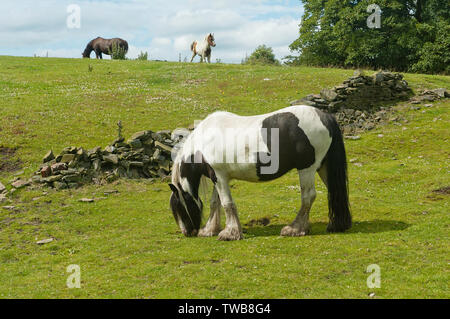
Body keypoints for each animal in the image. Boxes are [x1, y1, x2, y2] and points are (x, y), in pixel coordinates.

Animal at [169, 104, 352, 240]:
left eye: (179, 208)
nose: (187, 232)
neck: (204, 142)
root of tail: (325, 116)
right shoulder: (219, 177)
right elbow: (216, 203)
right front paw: (210, 230)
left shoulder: (219, 177)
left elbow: (227, 203)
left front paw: (230, 233)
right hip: (323, 167)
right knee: (334, 191)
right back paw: (336, 225)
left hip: (307, 169)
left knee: (308, 196)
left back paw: (295, 229)